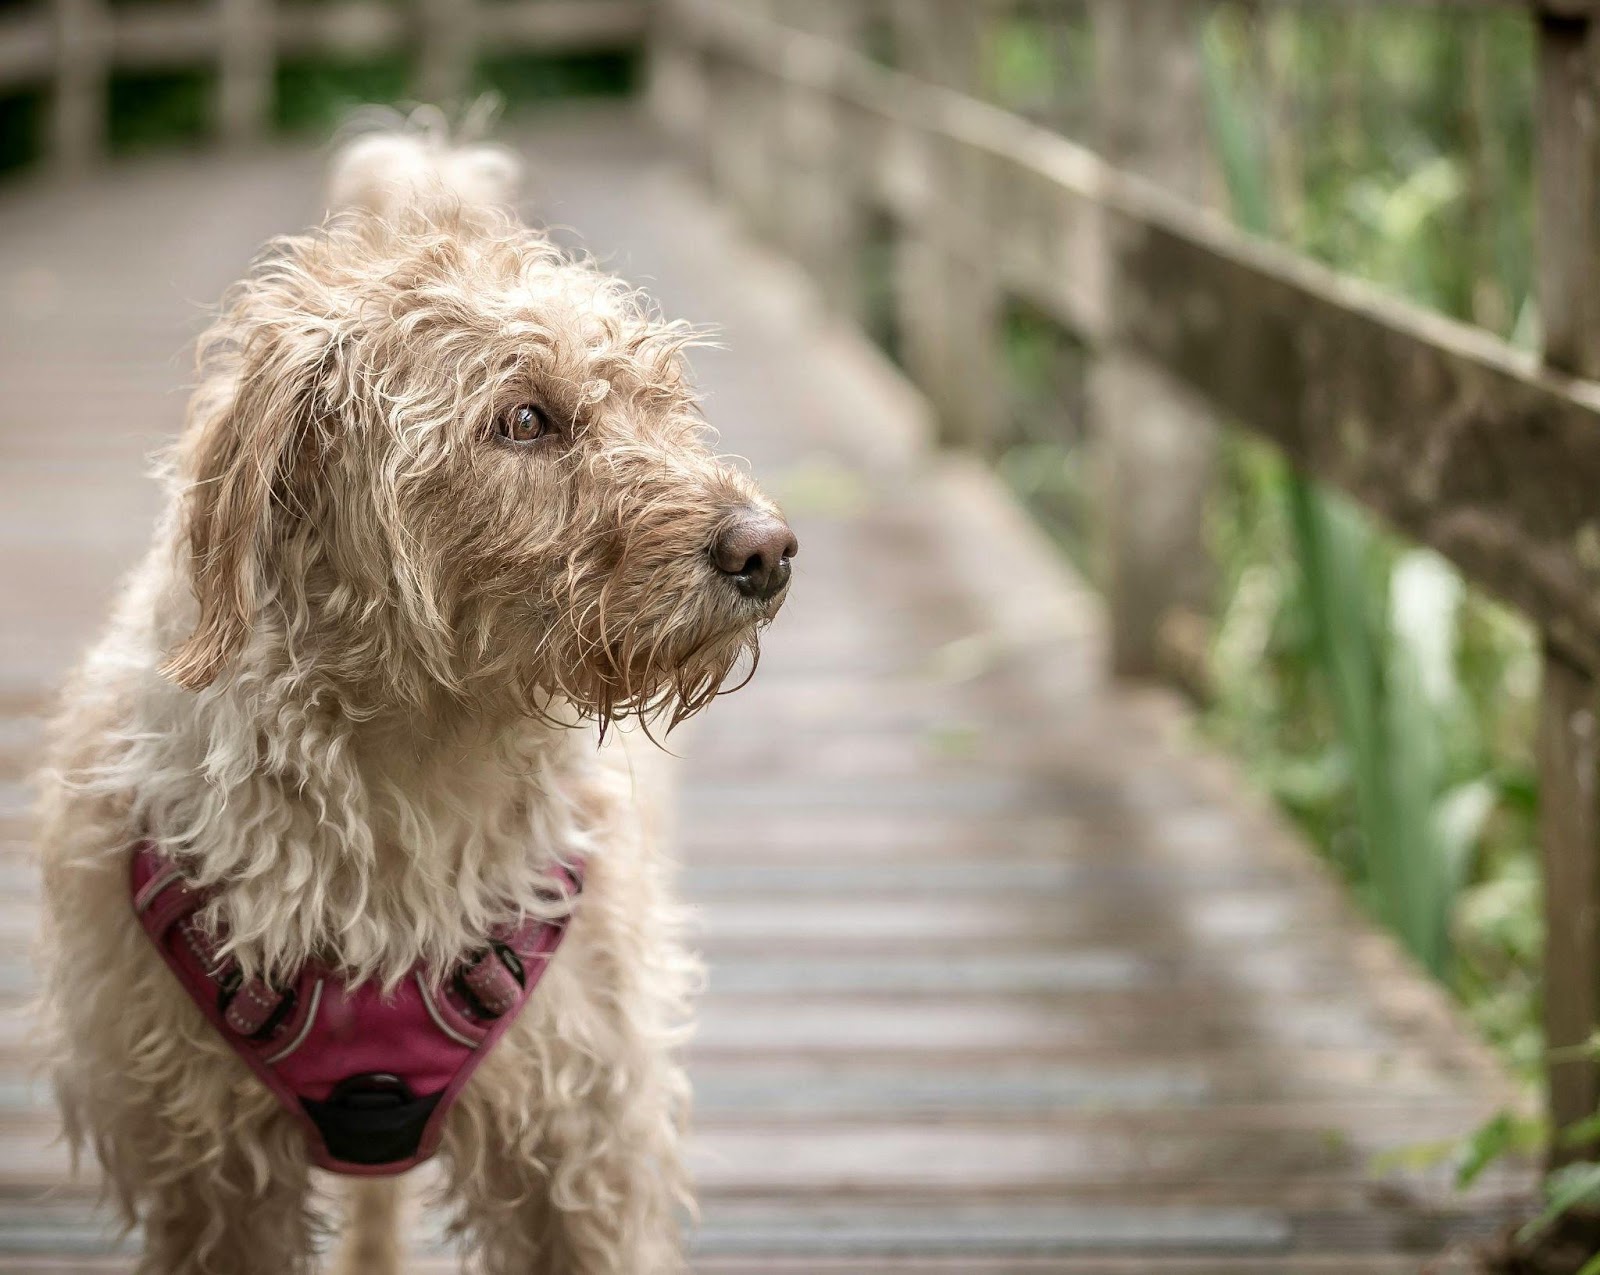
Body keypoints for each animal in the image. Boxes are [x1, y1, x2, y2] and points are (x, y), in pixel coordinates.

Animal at [32, 121, 793, 1273]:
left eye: (662, 404)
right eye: (524, 419)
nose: (769, 549)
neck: (409, 787)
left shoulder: (583, 1154)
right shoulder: (208, 1177)